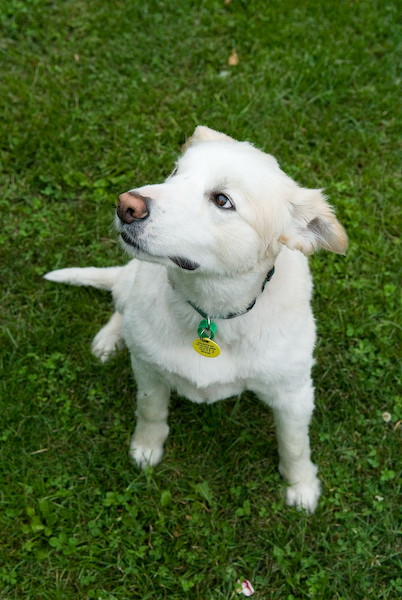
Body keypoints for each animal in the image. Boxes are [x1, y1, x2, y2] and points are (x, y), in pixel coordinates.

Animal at [43, 125, 346, 510]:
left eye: (222, 200)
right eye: (175, 172)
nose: (126, 205)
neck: (211, 314)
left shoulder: (294, 394)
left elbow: (294, 444)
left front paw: (301, 484)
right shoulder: (148, 370)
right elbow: (150, 411)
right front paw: (146, 448)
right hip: (130, 282)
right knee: (120, 303)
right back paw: (110, 339)